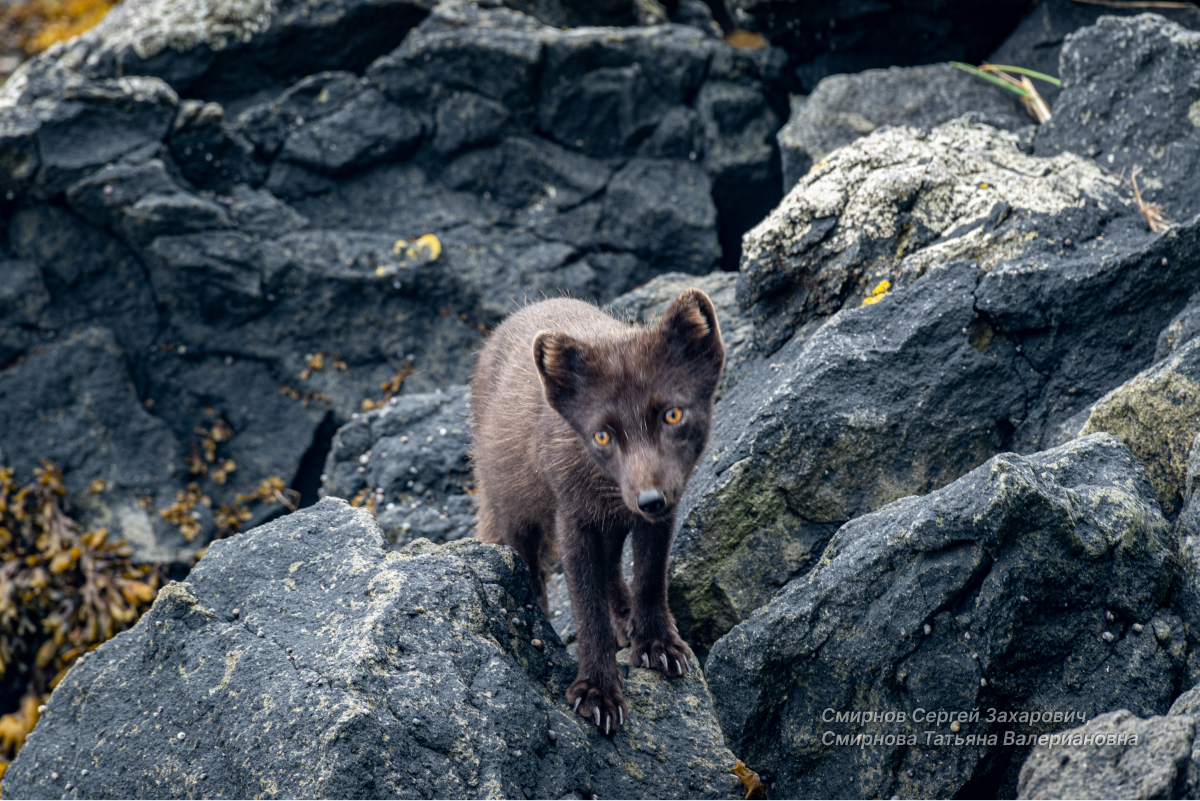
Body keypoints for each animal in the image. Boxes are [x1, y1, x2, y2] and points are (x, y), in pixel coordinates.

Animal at [472, 291, 724, 733]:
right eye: (602, 436)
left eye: (673, 414)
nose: (650, 499)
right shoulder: (572, 520)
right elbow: (586, 608)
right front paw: (597, 692)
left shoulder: (657, 515)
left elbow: (650, 578)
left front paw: (656, 642)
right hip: (513, 513)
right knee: (532, 571)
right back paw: (544, 626)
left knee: (611, 567)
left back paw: (625, 621)